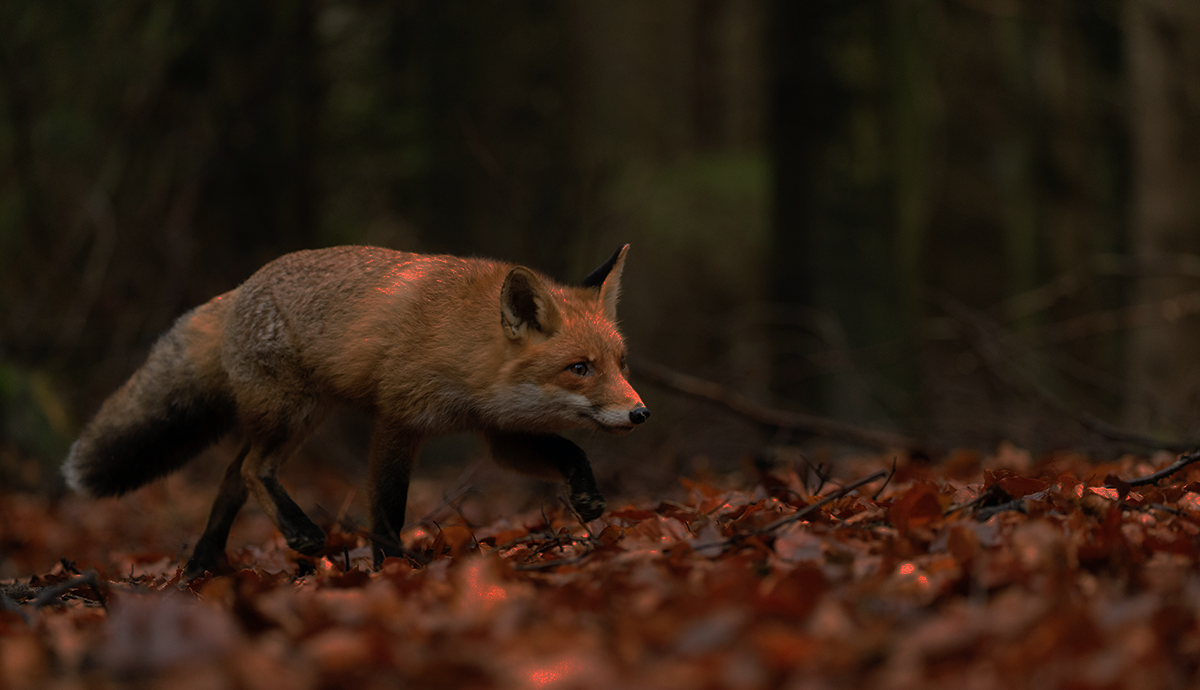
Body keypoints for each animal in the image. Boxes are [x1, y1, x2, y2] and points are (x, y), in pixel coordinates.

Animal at [64, 242, 648, 578]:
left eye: (621, 364)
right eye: (579, 368)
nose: (640, 414)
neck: (464, 345)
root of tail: (238, 289)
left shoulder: (498, 432)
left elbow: (569, 449)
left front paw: (586, 494)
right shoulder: (397, 418)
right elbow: (387, 508)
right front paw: (390, 569)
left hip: (296, 417)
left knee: (231, 475)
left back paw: (202, 566)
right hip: (293, 412)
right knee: (251, 469)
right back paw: (298, 533)